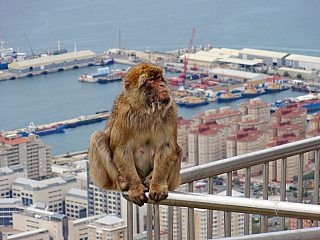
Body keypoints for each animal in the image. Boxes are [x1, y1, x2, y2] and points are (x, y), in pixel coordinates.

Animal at [89, 62, 181, 206]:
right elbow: (122, 150)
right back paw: (122, 182)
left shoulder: (170, 111)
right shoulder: (124, 114)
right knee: (97, 136)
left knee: (178, 149)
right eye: (151, 80)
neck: (147, 109)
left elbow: (166, 147)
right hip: (106, 179)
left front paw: (158, 185)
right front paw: (135, 188)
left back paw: (149, 180)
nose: (162, 84)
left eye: (159, 77)